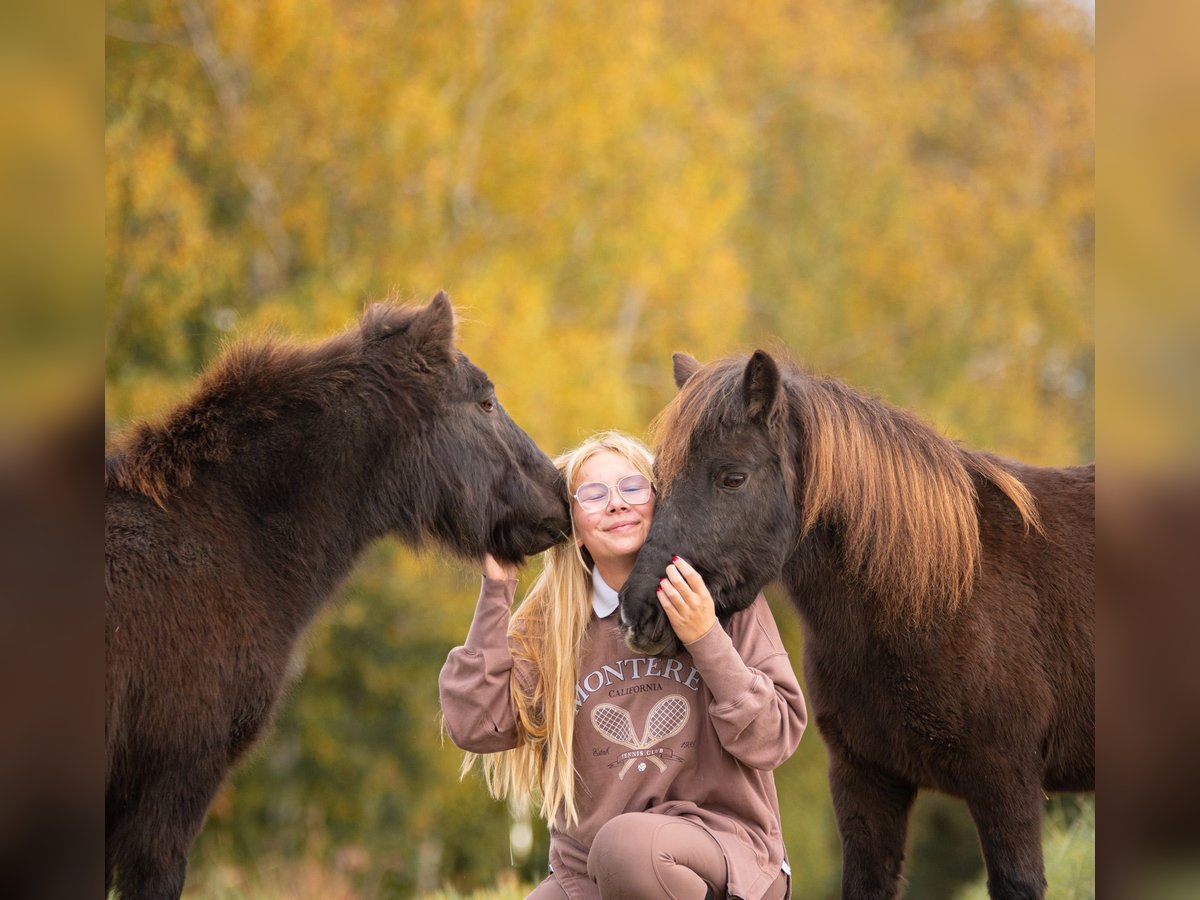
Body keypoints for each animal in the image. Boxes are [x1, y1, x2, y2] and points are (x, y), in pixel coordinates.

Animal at [624, 350, 1094, 900]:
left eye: (732, 477)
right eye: (658, 480)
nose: (639, 612)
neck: (938, 593)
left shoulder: (1006, 780)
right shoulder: (866, 779)